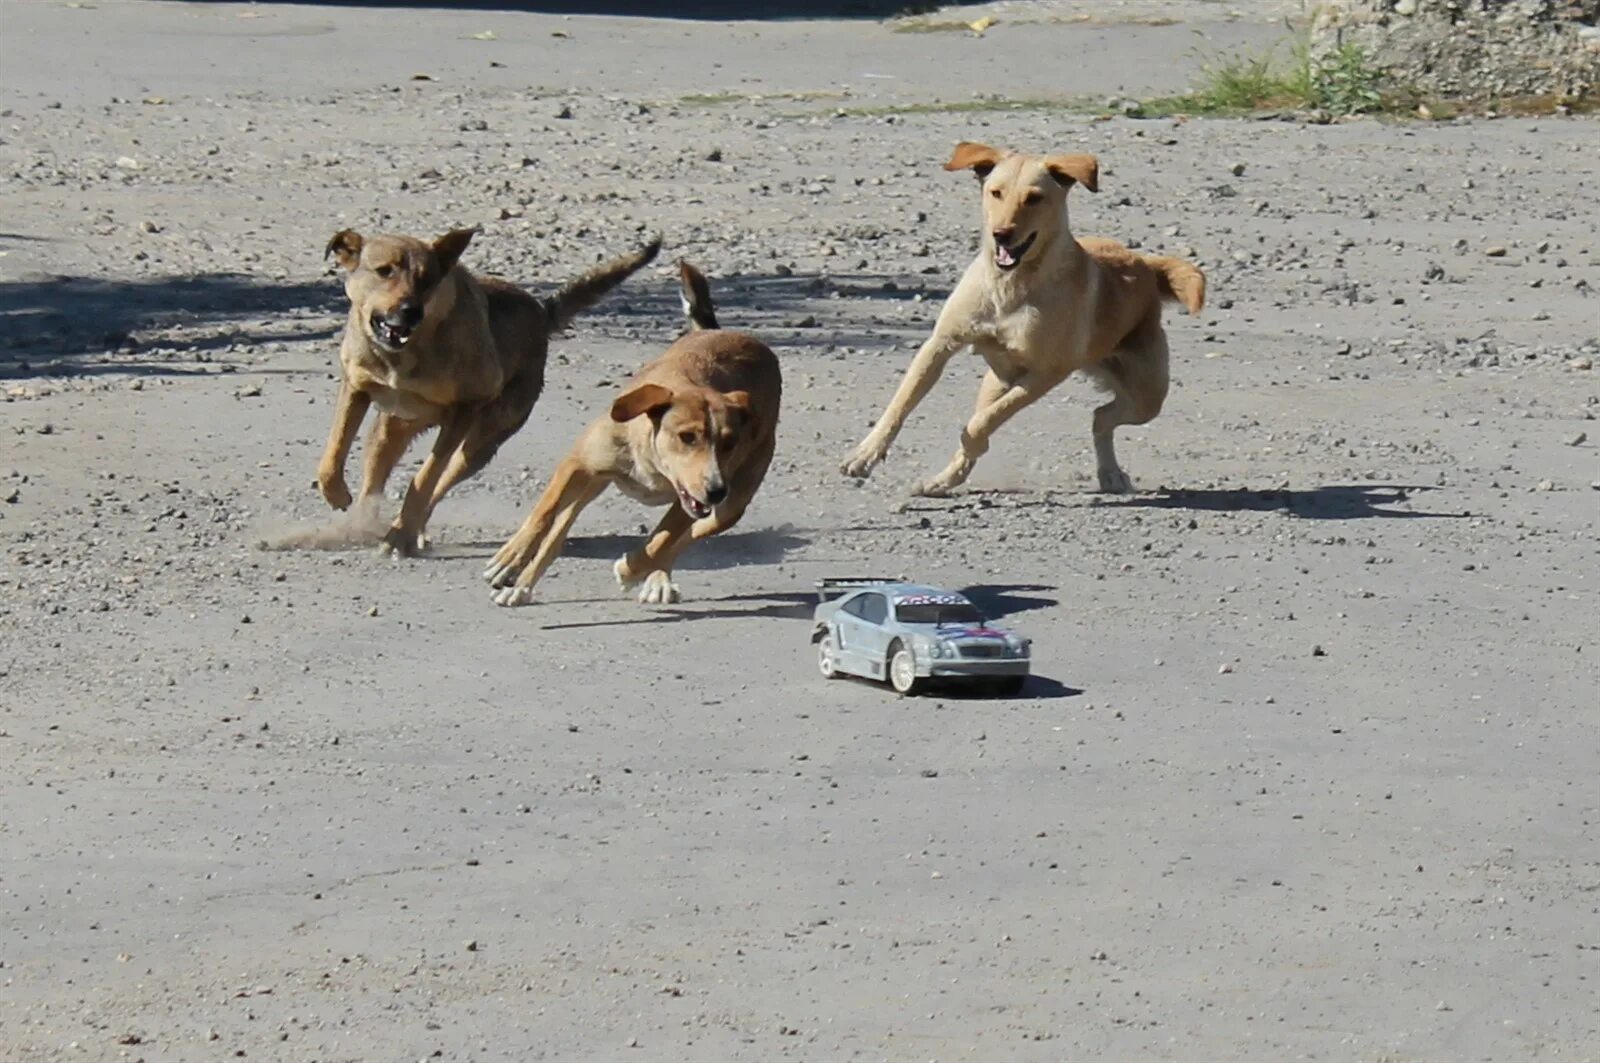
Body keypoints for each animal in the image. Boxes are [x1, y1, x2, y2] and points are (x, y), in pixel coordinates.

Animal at [318, 225, 656, 557]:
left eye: (427, 280)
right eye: (384, 271)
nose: (411, 311)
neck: (403, 355)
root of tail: (541, 311)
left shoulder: (465, 409)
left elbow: (426, 477)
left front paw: (401, 532)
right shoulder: (356, 386)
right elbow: (334, 448)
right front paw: (336, 492)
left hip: (479, 444)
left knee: (440, 481)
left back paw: (406, 531)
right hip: (392, 430)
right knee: (376, 473)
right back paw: (364, 523)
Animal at [486, 264, 787, 605]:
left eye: (730, 442)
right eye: (687, 437)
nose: (715, 490)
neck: (651, 459)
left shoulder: (689, 501)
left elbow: (662, 540)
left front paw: (631, 569)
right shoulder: (578, 465)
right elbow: (544, 513)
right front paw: (511, 558)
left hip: (731, 506)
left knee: (684, 539)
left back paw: (656, 578)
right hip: (593, 482)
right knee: (558, 533)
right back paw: (522, 585)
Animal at [838, 140, 1203, 499]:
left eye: (1034, 198)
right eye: (995, 192)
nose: (1001, 234)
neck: (1010, 286)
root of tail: (1144, 264)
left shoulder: (1045, 373)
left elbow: (982, 423)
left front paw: (971, 442)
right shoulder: (941, 344)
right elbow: (900, 405)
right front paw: (864, 455)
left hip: (1147, 396)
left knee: (1100, 416)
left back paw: (1110, 473)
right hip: (995, 381)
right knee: (1094, 416)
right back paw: (942, 481)